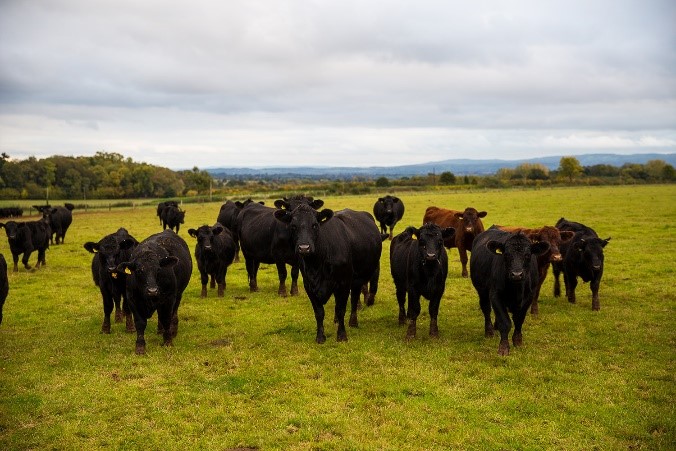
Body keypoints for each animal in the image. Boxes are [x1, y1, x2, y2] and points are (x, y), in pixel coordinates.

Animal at [272, 204, 382, 342]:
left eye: (315, 225)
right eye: (293, 226)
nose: (304, 248)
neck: (316, 265)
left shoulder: (344, 282)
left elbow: (341, 309)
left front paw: (341, 335)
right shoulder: (309, 285)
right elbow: (319, 312)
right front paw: (320, 337)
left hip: (357, 278)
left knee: (354, 298)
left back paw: (353, 321)